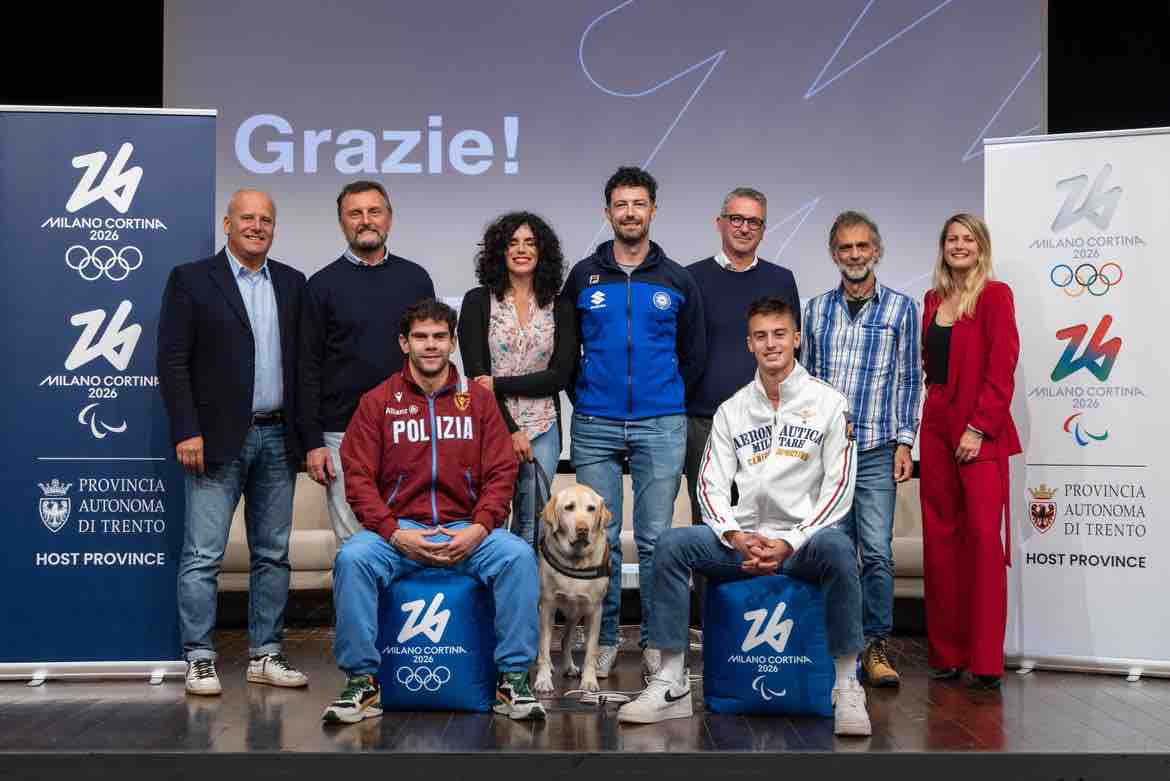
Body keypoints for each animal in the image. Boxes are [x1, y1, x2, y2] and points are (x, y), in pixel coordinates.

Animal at [533, 481, 613, 696]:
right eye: (569, 507)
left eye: (591, 509)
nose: (583, 529)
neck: (576, 561)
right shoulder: (547, 607)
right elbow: (544, 647)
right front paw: (543, 679)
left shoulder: (594, 610)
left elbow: (591, 651)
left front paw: (589, 681)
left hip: (574, 613)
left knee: (565, 640)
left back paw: (569, 666)